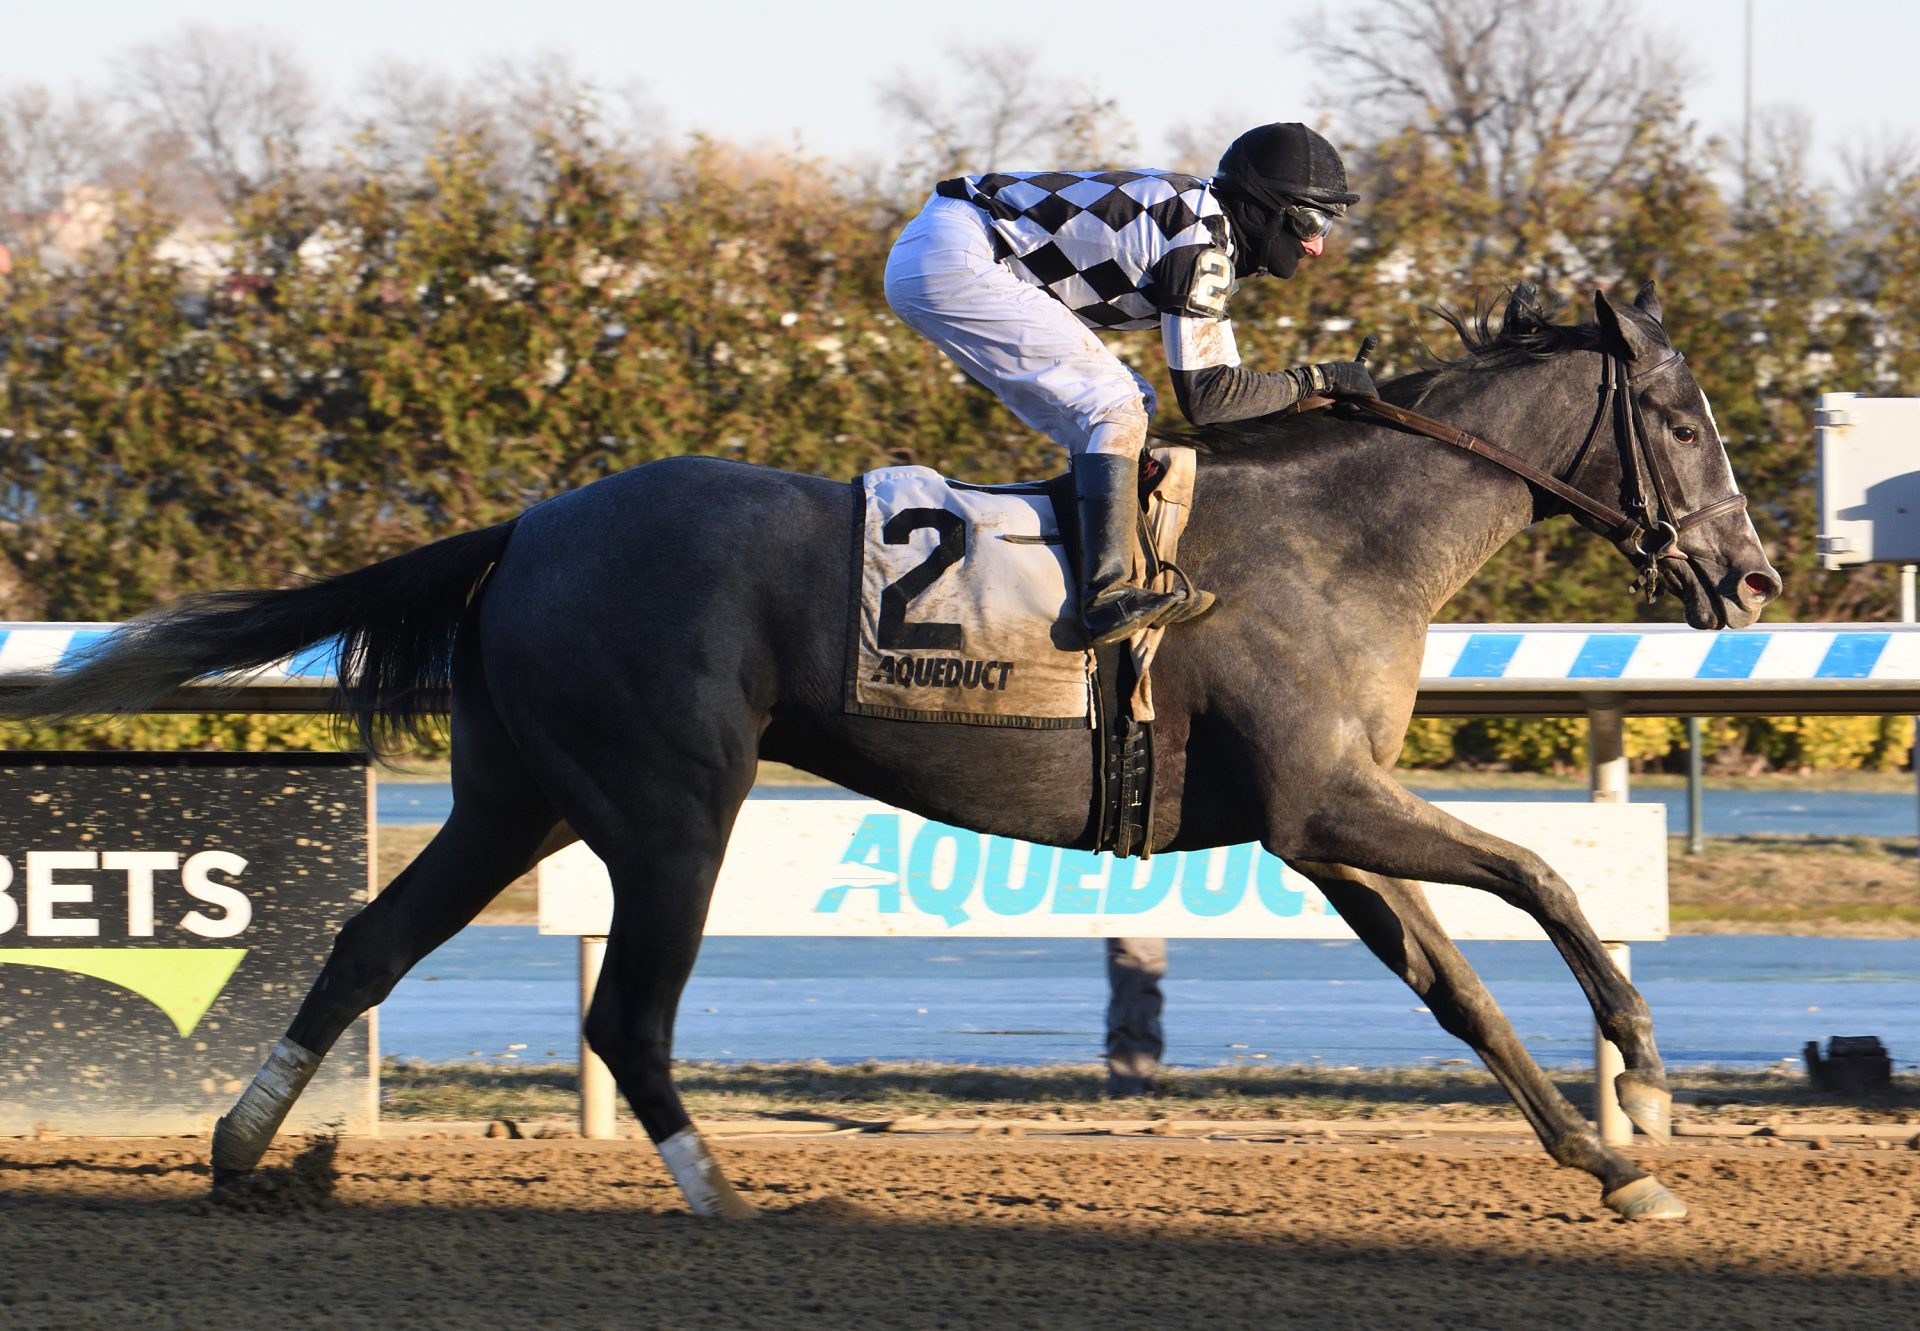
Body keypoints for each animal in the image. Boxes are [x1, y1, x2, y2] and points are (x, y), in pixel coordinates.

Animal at [7, 280, 1781, 1213]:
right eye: (1685, 419)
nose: (1753, 577)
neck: (1341, 537)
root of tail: (532, 523)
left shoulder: (1317, 822)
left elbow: (1460, 986)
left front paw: (1611, 1162)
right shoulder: (1330, 797)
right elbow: (1543, 876)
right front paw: (1647, 1073)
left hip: (516, 795)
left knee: (375, 934)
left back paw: (242, 1148)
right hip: (672, 804)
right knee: (624, 1011)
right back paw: (723, 1193)